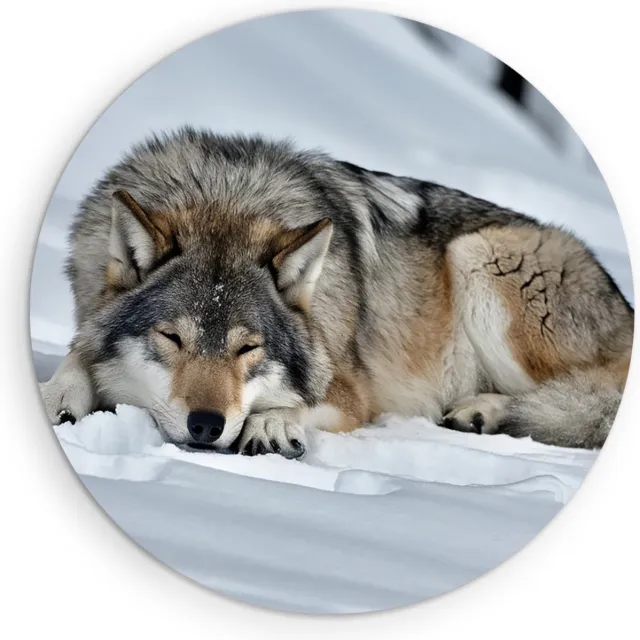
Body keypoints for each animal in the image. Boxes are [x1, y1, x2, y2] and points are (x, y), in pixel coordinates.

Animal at [38, 128, 633, 458]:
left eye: (248, 349)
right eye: (172, 339)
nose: (206, 425)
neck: (226, 195)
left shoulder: (352, 390)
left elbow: (302, 400)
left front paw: (272, 422)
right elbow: (77, 356)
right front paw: (55, 396)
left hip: (480, 257)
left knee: (591, 397)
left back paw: (483, 412)